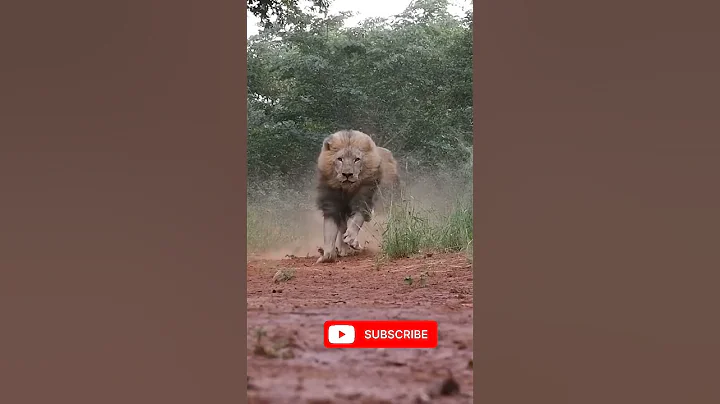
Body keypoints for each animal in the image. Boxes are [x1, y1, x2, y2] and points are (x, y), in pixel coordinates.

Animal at [315, 130, 399, 264]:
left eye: (357, 159)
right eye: (340, 159)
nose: (347, 174)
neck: (347, 189)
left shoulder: (364, 199)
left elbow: (357, 220)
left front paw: (350, 238)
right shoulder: (331, 204)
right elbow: (329, 230)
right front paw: (327, 255)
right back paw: (344, 249)